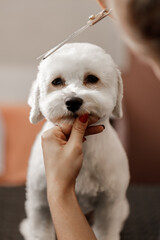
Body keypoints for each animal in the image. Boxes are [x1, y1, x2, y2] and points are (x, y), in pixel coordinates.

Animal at [20, 42, 130, 240]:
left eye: (92, 78)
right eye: (56, 81)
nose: (72, 101)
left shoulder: (109, 203)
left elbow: (106, 230)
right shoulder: (40, 201)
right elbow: (40, 229)